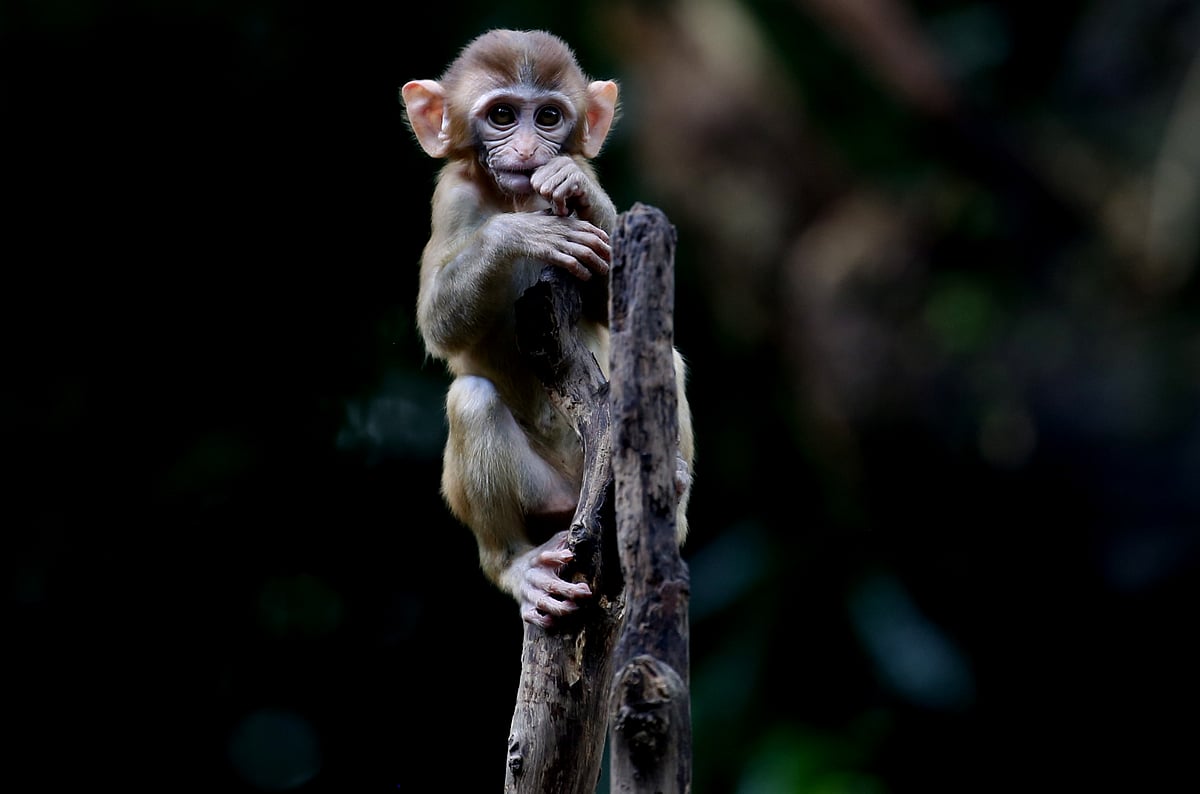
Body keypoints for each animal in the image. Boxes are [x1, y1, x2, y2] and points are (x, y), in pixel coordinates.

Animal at [401, 29, 693, 628]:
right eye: (503, 115)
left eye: (550, 117)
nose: (529, 150)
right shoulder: (451, 196)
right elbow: (438, 324)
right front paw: (520, 232)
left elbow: (611, 304)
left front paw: (572, 184)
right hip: (544, 496)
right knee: (471, 398)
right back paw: (519, 567)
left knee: (667, 359)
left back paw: (671, 491)